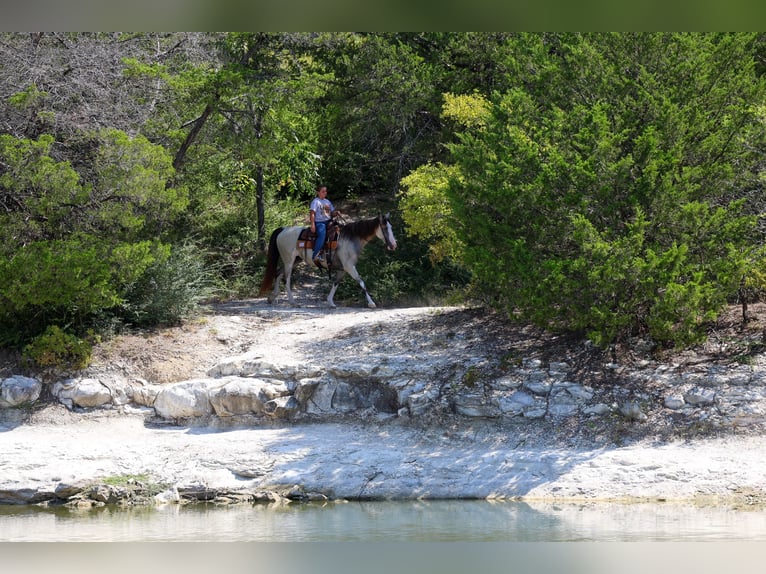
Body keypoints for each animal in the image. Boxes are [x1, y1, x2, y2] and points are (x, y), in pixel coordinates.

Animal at [258, 213, 397, 308]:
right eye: (385, 228)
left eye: (391, 226)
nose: (394, 245)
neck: (352, 238)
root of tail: (283, 229)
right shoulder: (349, 266)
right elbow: (361, 282)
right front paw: (371, 303)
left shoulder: (343, 269)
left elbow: (336, 283)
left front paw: (330, 302)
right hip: (289, 261)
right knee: (286, 279)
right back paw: (292, 302)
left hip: (295, 260)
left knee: (278, 273)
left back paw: (272, 297)